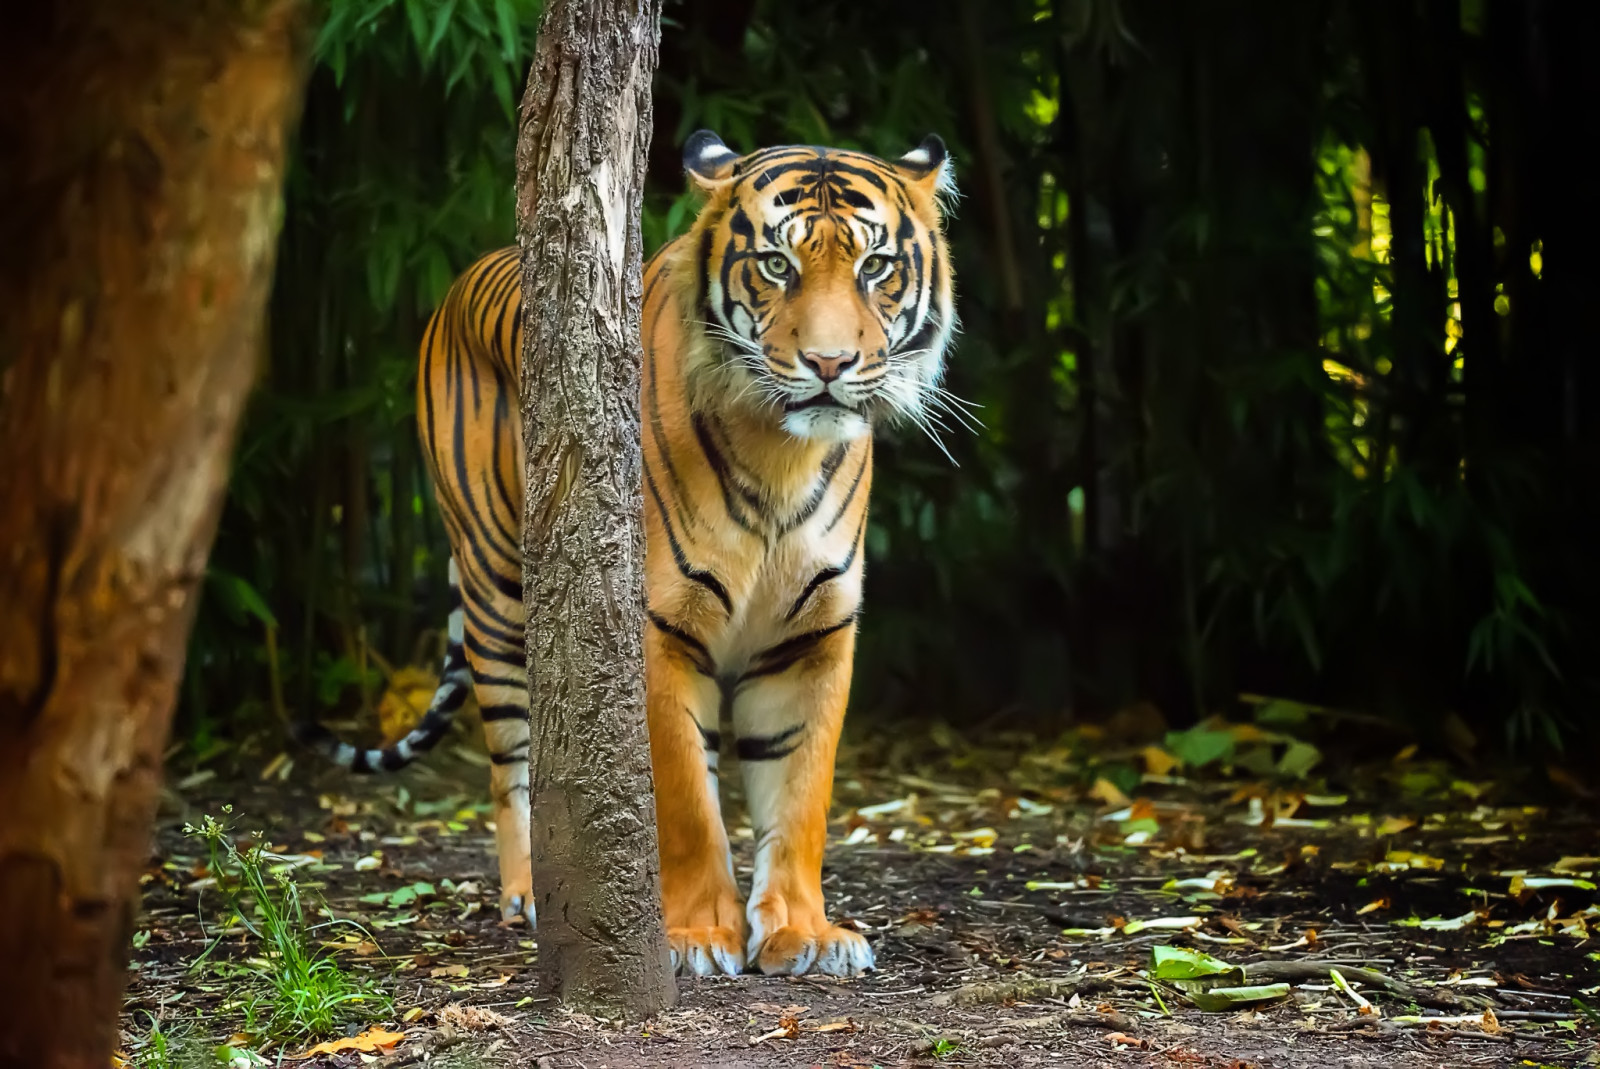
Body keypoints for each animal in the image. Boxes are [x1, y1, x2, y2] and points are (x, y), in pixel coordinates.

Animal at [294, 127, 953, 979]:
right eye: (777, 264)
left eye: (876, 267)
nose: (831, 365)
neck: (783, 455)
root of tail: (463, 277)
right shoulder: (658, 629)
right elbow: (686, 797)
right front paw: (698, 936)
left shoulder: (812, 635)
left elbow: (801, 790)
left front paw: (804, 933)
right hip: (497, 594)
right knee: (514, 764)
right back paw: (531, 894)